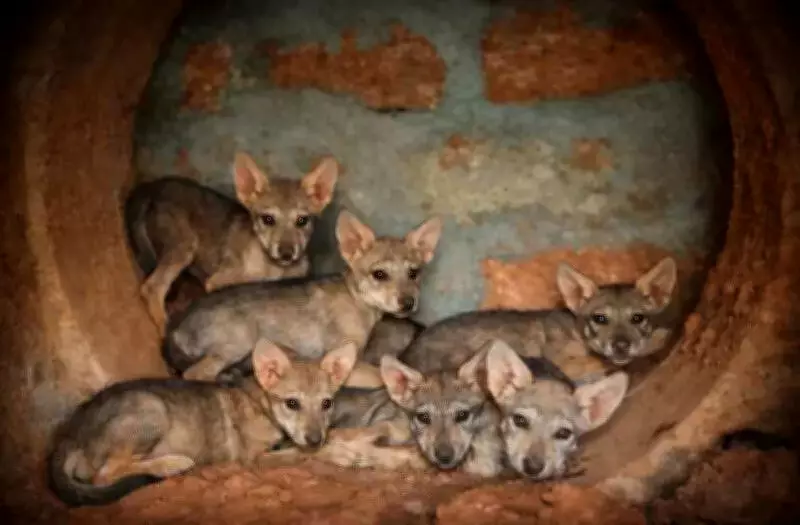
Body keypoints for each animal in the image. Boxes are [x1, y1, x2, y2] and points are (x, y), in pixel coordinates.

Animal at [46, 339, 357, 507]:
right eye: (292, 403)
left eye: (327, 404)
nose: (315, 438)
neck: (260, 404)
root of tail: (68, 435)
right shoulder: (254, 459)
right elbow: (304, 454)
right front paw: (341, 453)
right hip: (152, 410)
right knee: (104, 475)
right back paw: (171, 464)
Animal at [124, 152, 338, 333]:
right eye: (268, 219)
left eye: (302, 220)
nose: (287, 253)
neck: (273, 268)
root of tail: (150, 188)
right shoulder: (218, 281)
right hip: (184, 247)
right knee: (152, 288)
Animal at [162, 210, 443, 385]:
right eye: (379, 274)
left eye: (414, 273)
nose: (408, 303)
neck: (357, 301)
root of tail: (176, 329)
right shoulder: (347, 361)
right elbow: (379, 377)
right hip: (236, 343)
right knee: (193, 374)